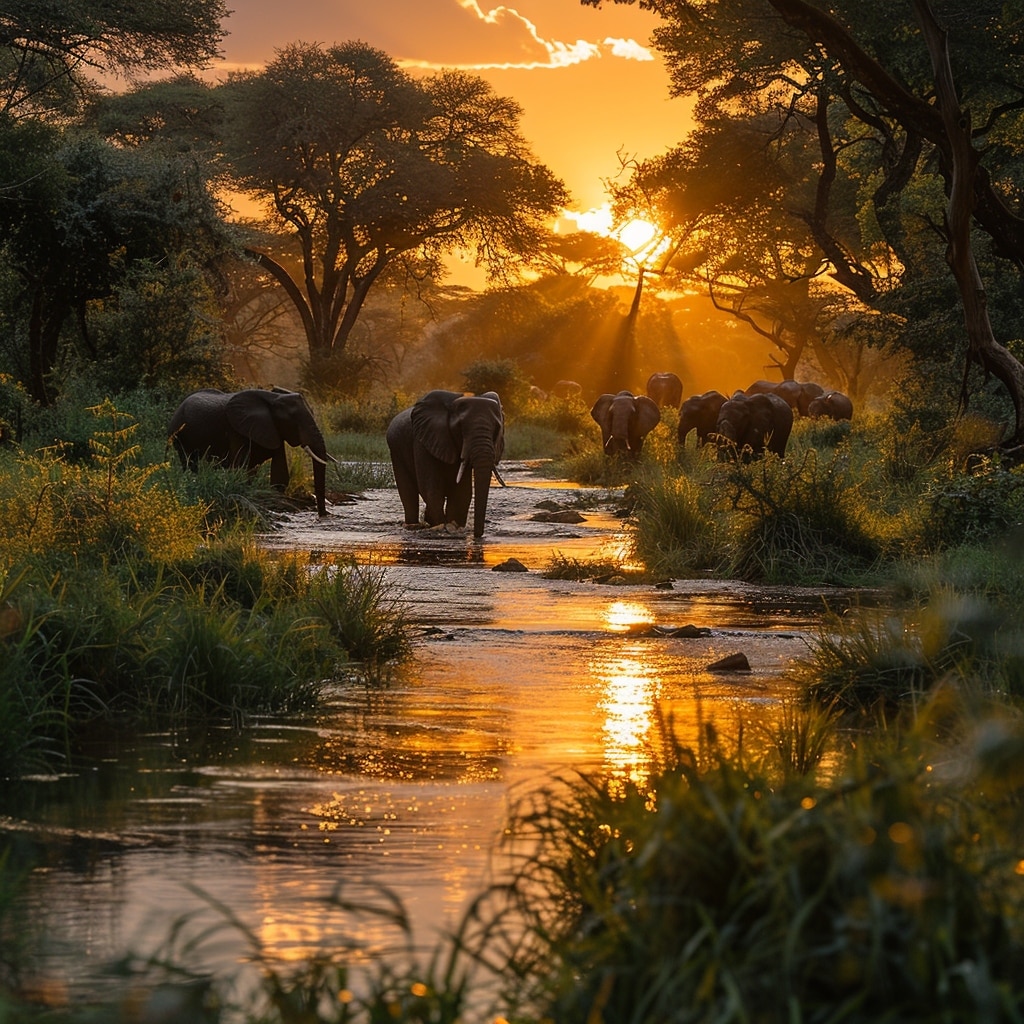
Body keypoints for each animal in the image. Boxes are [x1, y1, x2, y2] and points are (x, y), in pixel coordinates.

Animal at [167, 391, 333, 520]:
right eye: (292, 419)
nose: (323, 516)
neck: (273, 398)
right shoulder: (236, 430)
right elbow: (240, 467)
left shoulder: (273, 430)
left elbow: (280, 475)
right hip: (178, 433)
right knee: (189, 462)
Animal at [385, 387, 505, 540]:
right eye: (460, 427)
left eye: (497, 428)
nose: (477, 536)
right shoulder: (422, 440)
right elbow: (430, 486)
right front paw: (439, 525)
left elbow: (462, 491)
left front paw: (452, 526)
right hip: (396, 450)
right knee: (408, 494)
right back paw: (413, 525)